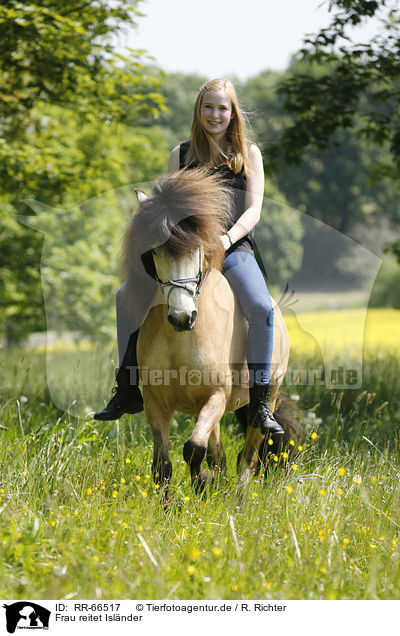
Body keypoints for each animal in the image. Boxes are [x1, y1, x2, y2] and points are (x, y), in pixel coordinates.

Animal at [122, 168, 290, 492]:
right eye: (155, 252)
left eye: (197, 249)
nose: (182, 318)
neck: (179, 340)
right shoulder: (155, 402)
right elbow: (163, 464)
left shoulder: (216, 396)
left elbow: (193, 449)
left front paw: (202, 484)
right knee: (219, 454)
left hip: (268, 395)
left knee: (246, 459)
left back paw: (237, 498)